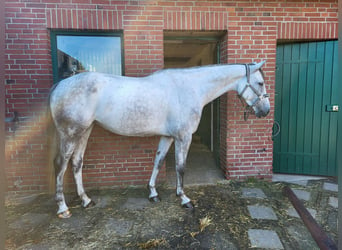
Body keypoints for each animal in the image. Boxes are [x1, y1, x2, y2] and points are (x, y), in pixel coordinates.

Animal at [50, 61, 270, 218]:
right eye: (260, 83)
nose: (266, 111)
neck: (190, 88)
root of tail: (59, 85)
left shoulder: (168, 136)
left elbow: (158, 160)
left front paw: (153, 193)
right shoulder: (183, 137)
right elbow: (181, 167)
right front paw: (184, 198)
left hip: (84, 131)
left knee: (77, 163)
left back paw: (86, 200)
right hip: (70, 133)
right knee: (61, 165)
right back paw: (62, 208)